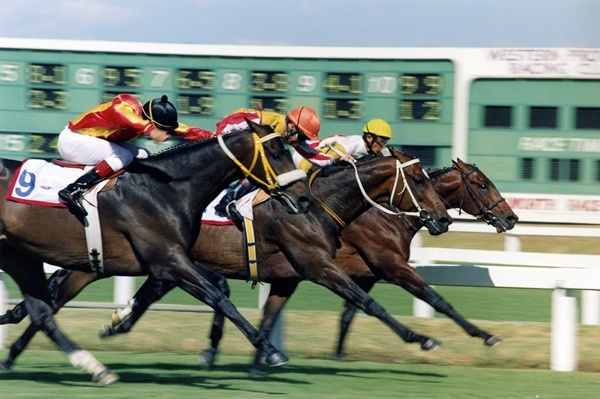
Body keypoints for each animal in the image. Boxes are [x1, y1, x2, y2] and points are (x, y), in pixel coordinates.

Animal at [0, 120, 314, 386]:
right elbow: (221, 300)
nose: (304, 199)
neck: (165, 189)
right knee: (44, 310)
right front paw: (272, 351)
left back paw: (91, 367)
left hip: (20, 256)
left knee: (42, 311)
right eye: (275, 153)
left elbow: (217, 294)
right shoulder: (168, 262)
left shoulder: (174, 260)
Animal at [0, 149, 450, 376]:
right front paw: (421, 338)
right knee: (53, 301)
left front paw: (256, 360)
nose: (443, 218)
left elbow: (266, 313)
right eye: (420, 179)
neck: (319, 202)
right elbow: (368, 302)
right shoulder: (317, 263)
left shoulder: (291, 273)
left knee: (50, 302)